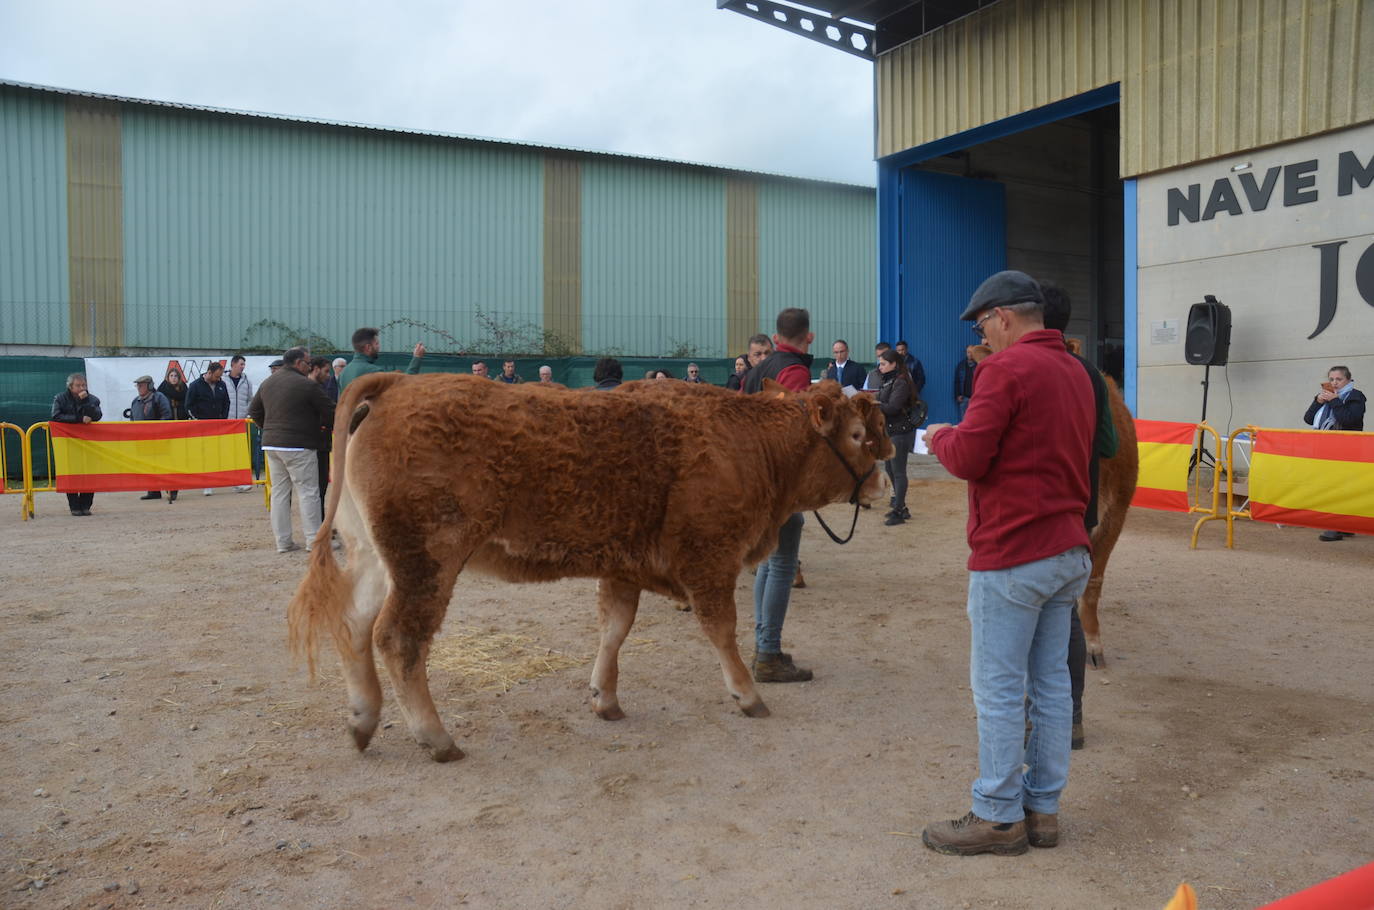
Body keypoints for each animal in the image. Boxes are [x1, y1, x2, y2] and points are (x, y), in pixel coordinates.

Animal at [287, 371, 890, 764]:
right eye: (859, 436)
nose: (884, 482)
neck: (744, 441)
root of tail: (399, 384)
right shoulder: (710, 558)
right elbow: (721, 629)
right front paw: (747, 695)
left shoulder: (623, 567)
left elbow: (614, 628)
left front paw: (605, 698)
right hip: (427, 563)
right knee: (399, 639)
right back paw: (436, 738)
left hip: (376, 560)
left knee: (353, 624)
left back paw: (363, 720)